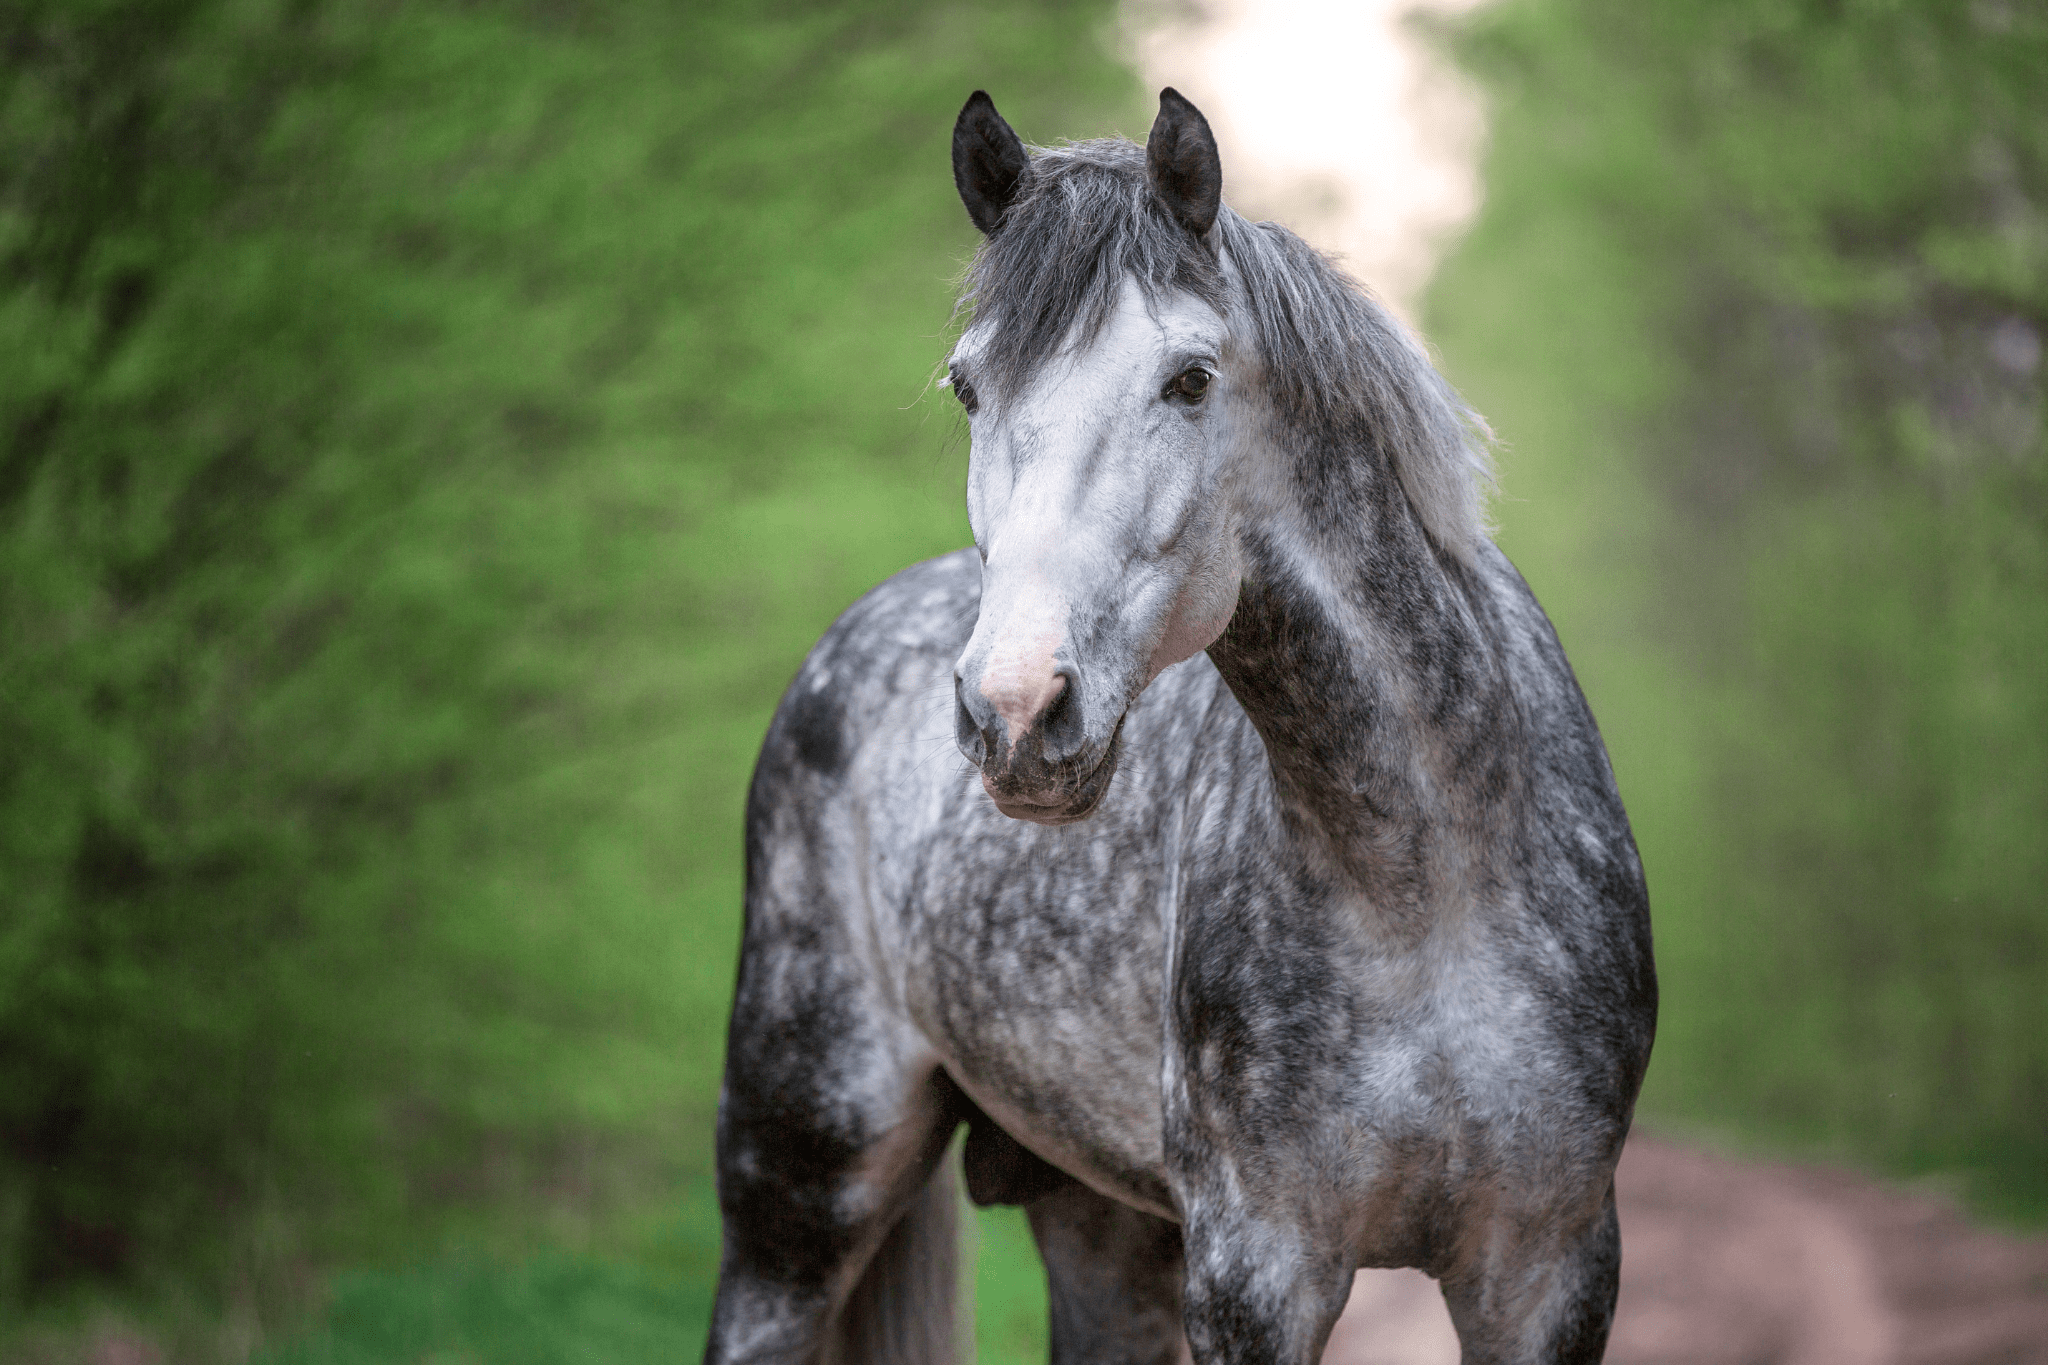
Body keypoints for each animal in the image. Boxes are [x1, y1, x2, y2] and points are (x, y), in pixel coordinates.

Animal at [704, 90, 1646, 1358]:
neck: (1427, 885)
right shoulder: (1255, 1272)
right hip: (796, 1192)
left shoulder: (1548, 1271)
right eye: (965, 386)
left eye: (1190, 381)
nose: (1013, 710)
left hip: (1096, 1226)